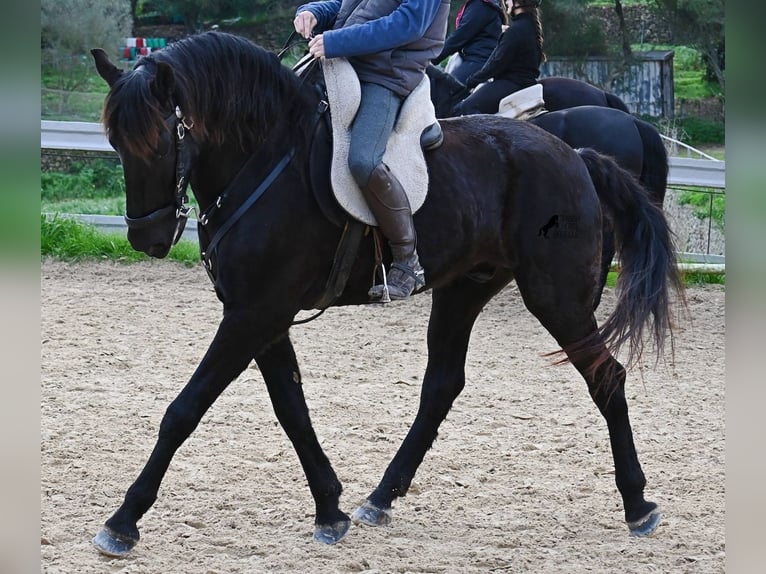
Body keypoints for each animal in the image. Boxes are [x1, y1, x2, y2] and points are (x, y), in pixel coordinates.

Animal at [89, 31, 683, 556]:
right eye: (116, 143)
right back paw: (381, 496)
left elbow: (184, 410)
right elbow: (292, 409)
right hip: (464, 290)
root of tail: (575, 155)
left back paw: (638, 504)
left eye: (160, 142)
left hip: (556, 297)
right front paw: (330, 509)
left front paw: (123, 521)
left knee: (606, 376)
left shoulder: (253, 315)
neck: (265, 163)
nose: (146, 238)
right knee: (442, 386)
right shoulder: (263, 316)